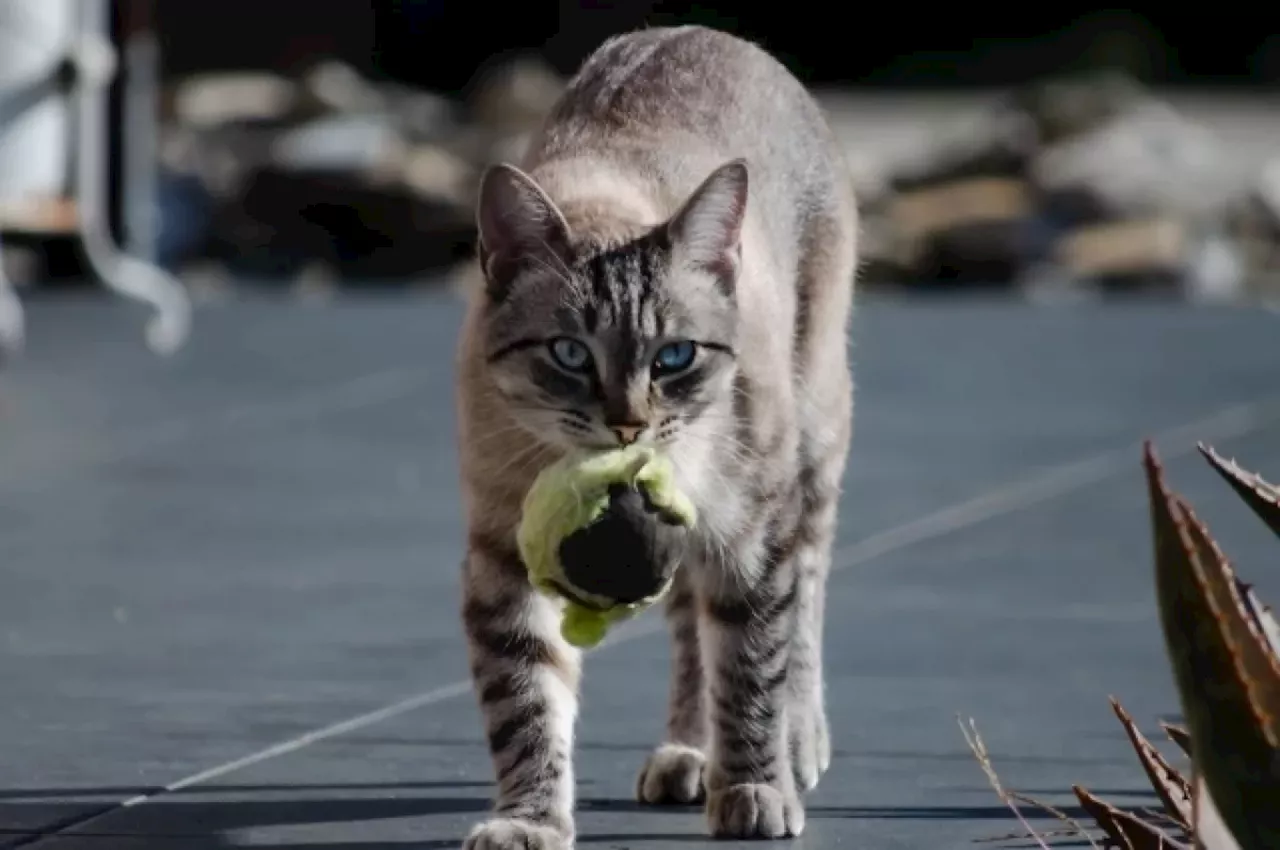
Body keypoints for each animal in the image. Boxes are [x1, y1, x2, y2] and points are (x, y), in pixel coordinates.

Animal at [455, 23, 855, 844]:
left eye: (674, 358)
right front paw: (531, 822)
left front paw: (755, 789)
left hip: (813, 444)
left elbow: (752, 663)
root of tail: (696, 30)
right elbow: (525, 703)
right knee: (689, 634)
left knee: (804, 599)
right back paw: (688, 754)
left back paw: (795, 747)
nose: (628, 423)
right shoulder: (503, 550)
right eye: (569, 354)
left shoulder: (753, 535)